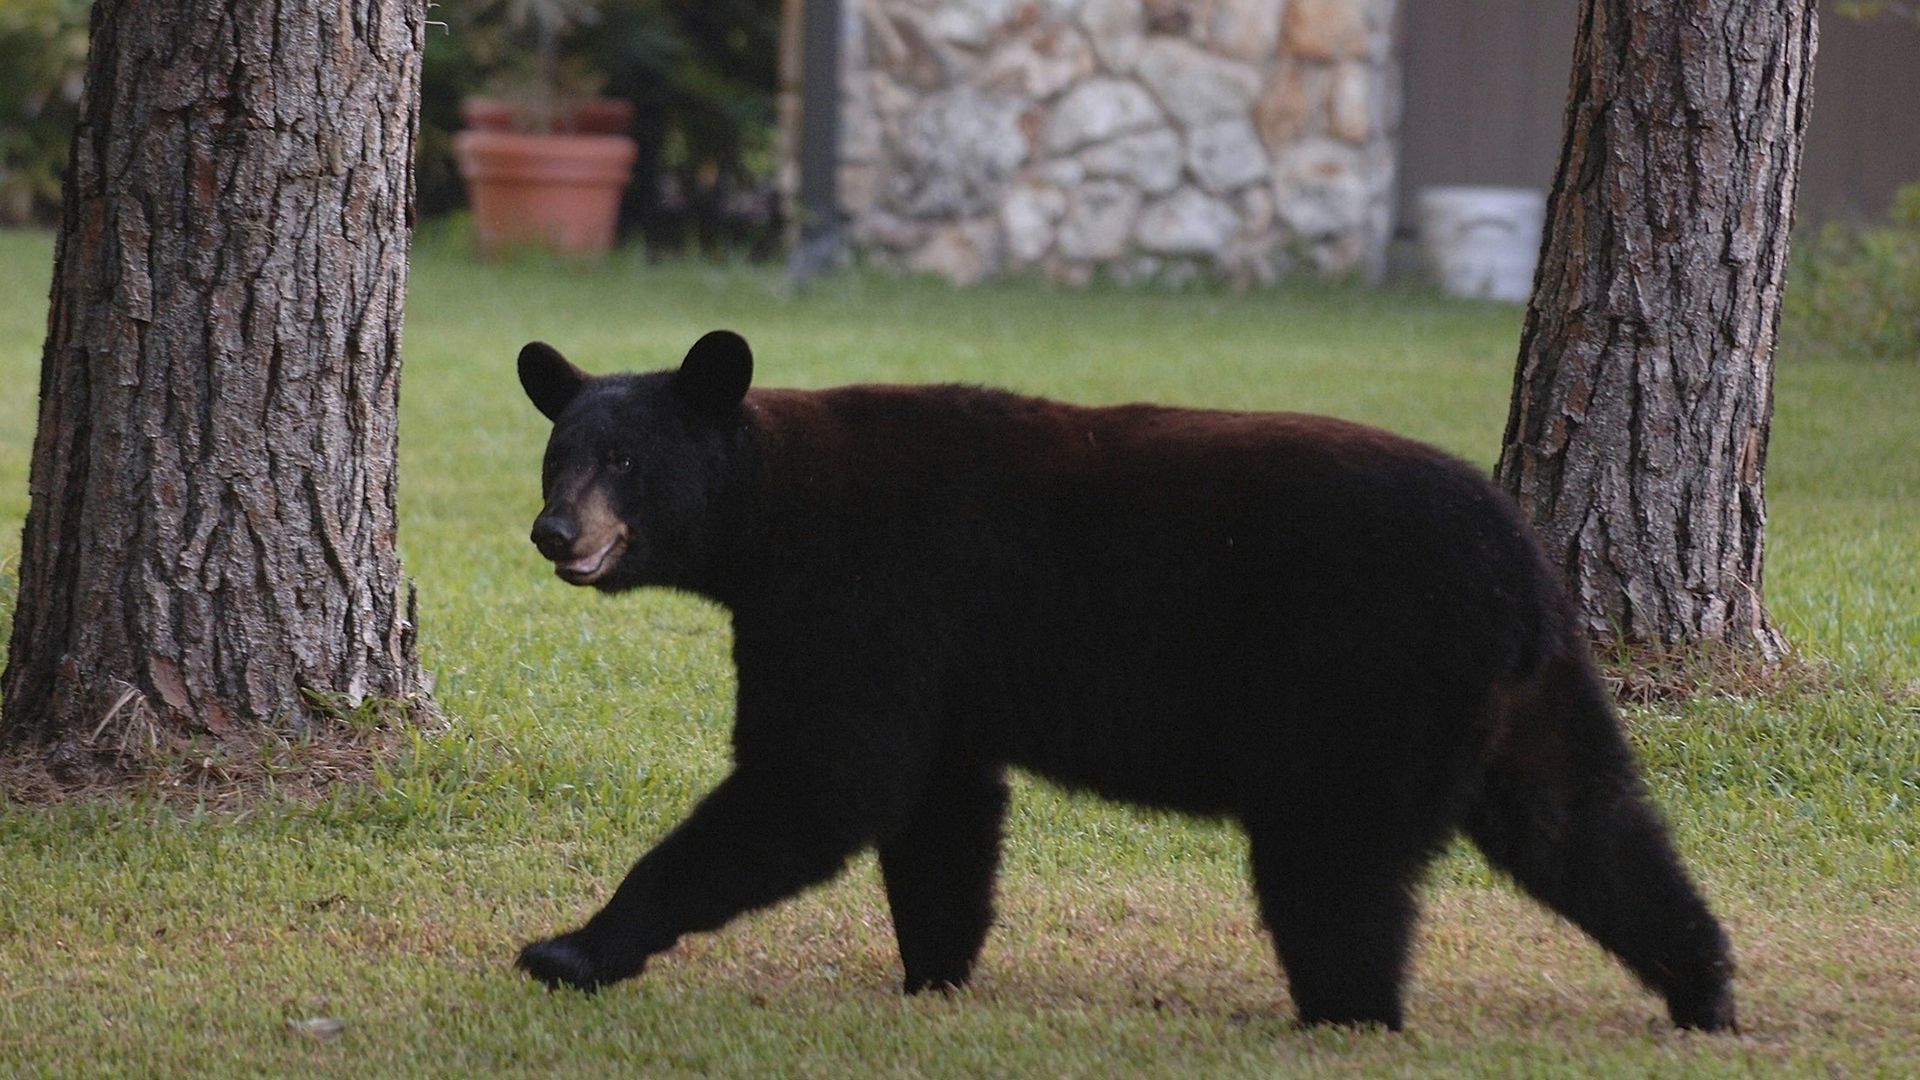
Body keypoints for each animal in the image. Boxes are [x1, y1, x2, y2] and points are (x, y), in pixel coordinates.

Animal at [511, 329, 1736, 1033]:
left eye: (624, 460)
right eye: (555, 454)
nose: (554, 531)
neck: (770, 511)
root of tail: (1522, 570)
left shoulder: (864, 598)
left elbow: (821, 779)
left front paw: (572, 948)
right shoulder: (939, 657)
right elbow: (942, 810)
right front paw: (935, 973)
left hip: (1366, 678)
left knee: (1333, 867)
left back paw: (1346, 1015)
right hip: (1531, 695)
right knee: (1586, 823)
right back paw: (1705, 987)